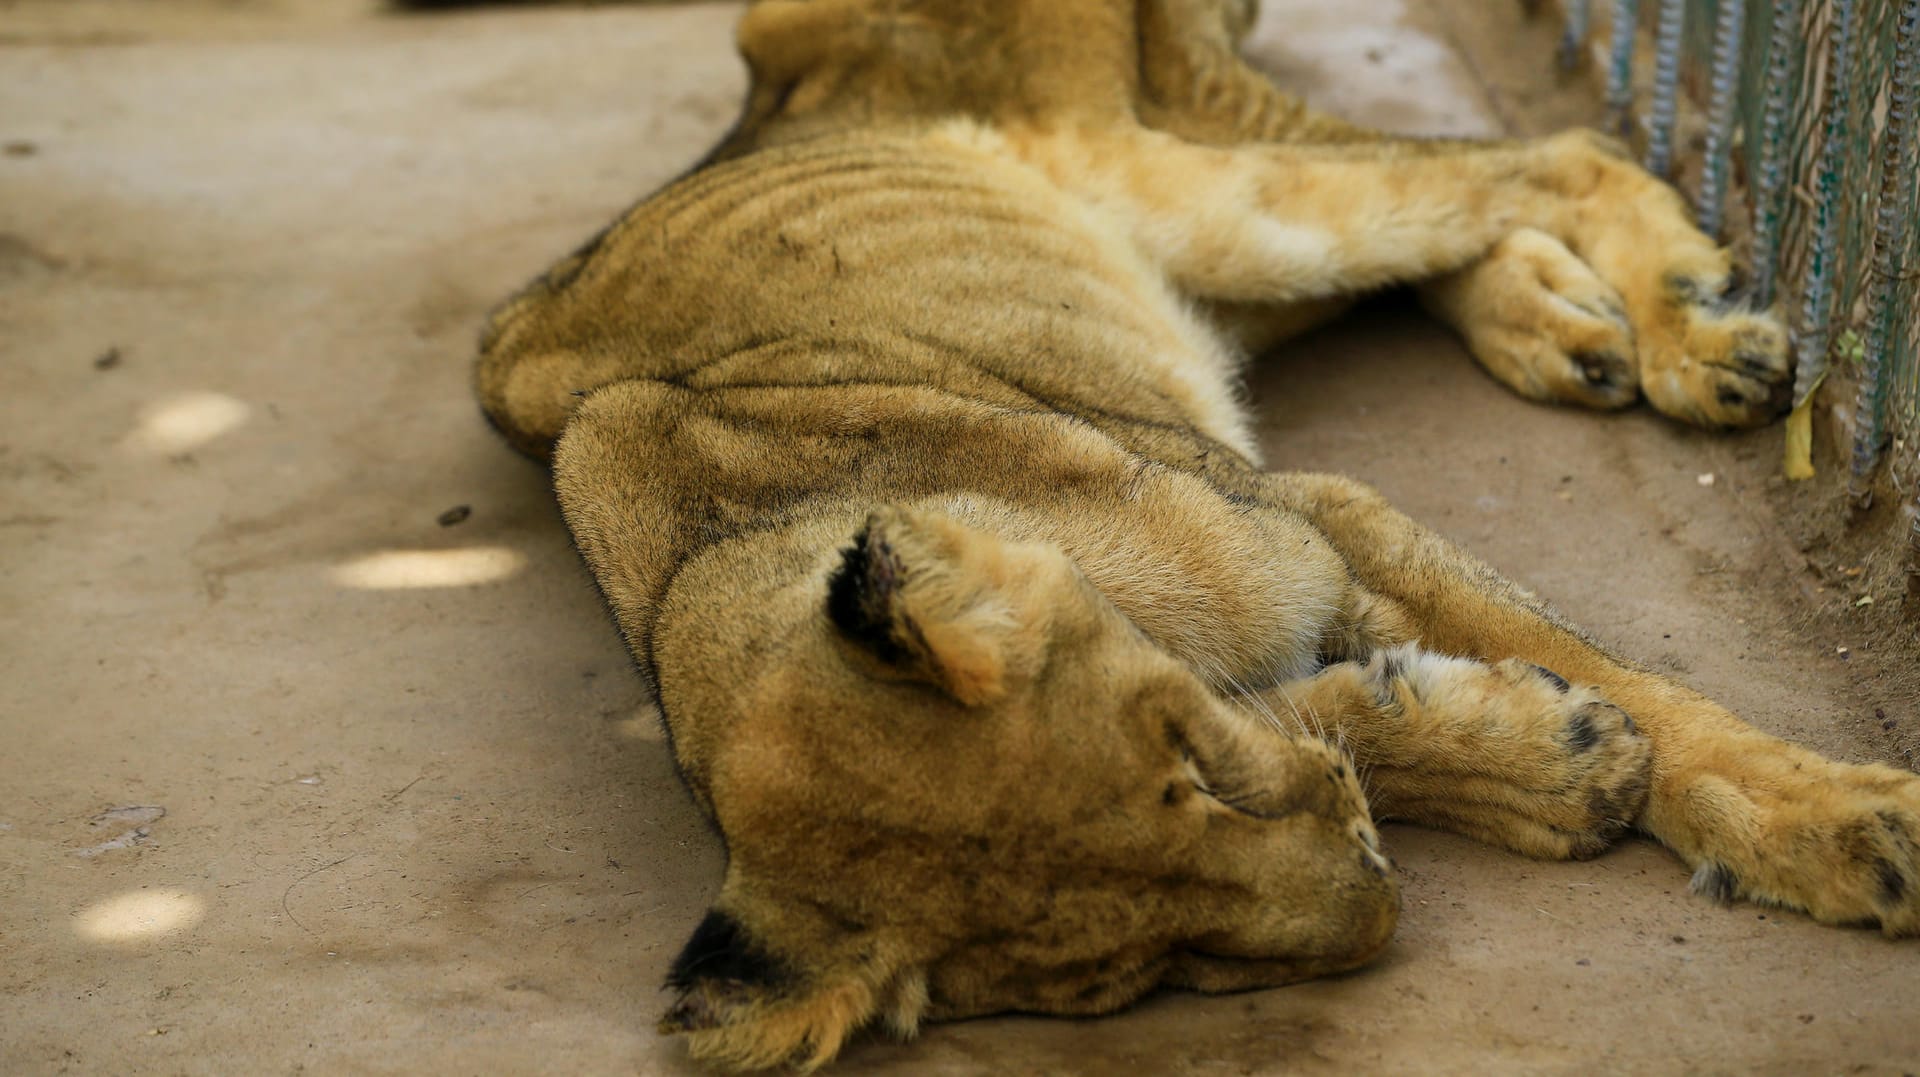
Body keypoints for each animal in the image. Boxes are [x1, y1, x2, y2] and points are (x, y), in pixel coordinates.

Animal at [468, 2, 1920, 1067]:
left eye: (1195, 766)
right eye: (1154, 970)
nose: (1378, 900)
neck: (711, 576)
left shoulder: (1315, 516)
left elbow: (1654, 700)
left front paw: (1845, 825)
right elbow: (1368, 721)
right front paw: (1550, 764)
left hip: (1184, 187)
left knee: (1543, 153)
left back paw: (1691, 335)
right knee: (1458, 214)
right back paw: (1571, 330)